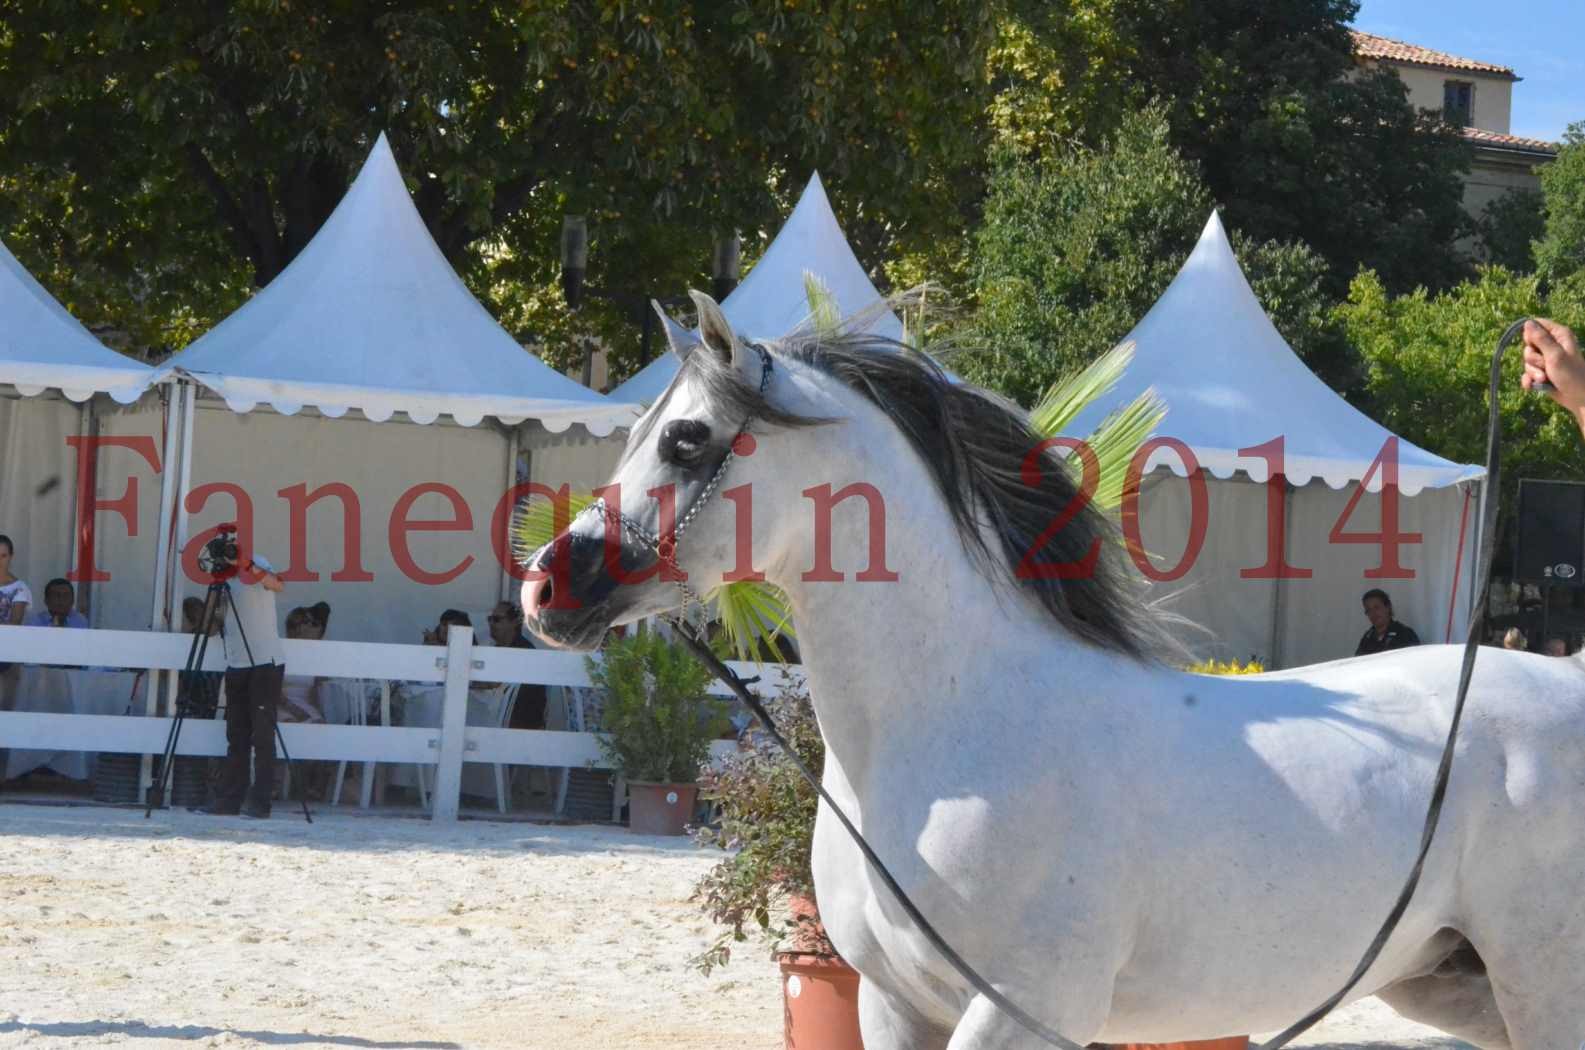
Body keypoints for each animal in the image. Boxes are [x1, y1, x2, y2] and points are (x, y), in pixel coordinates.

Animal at [526, 290, 1585, 1050]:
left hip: (1543, 990)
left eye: (687, 439)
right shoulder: (893, 1005)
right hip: (1457, 988)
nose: (547, 585)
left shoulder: (1021, 1009)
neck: (963, 731)